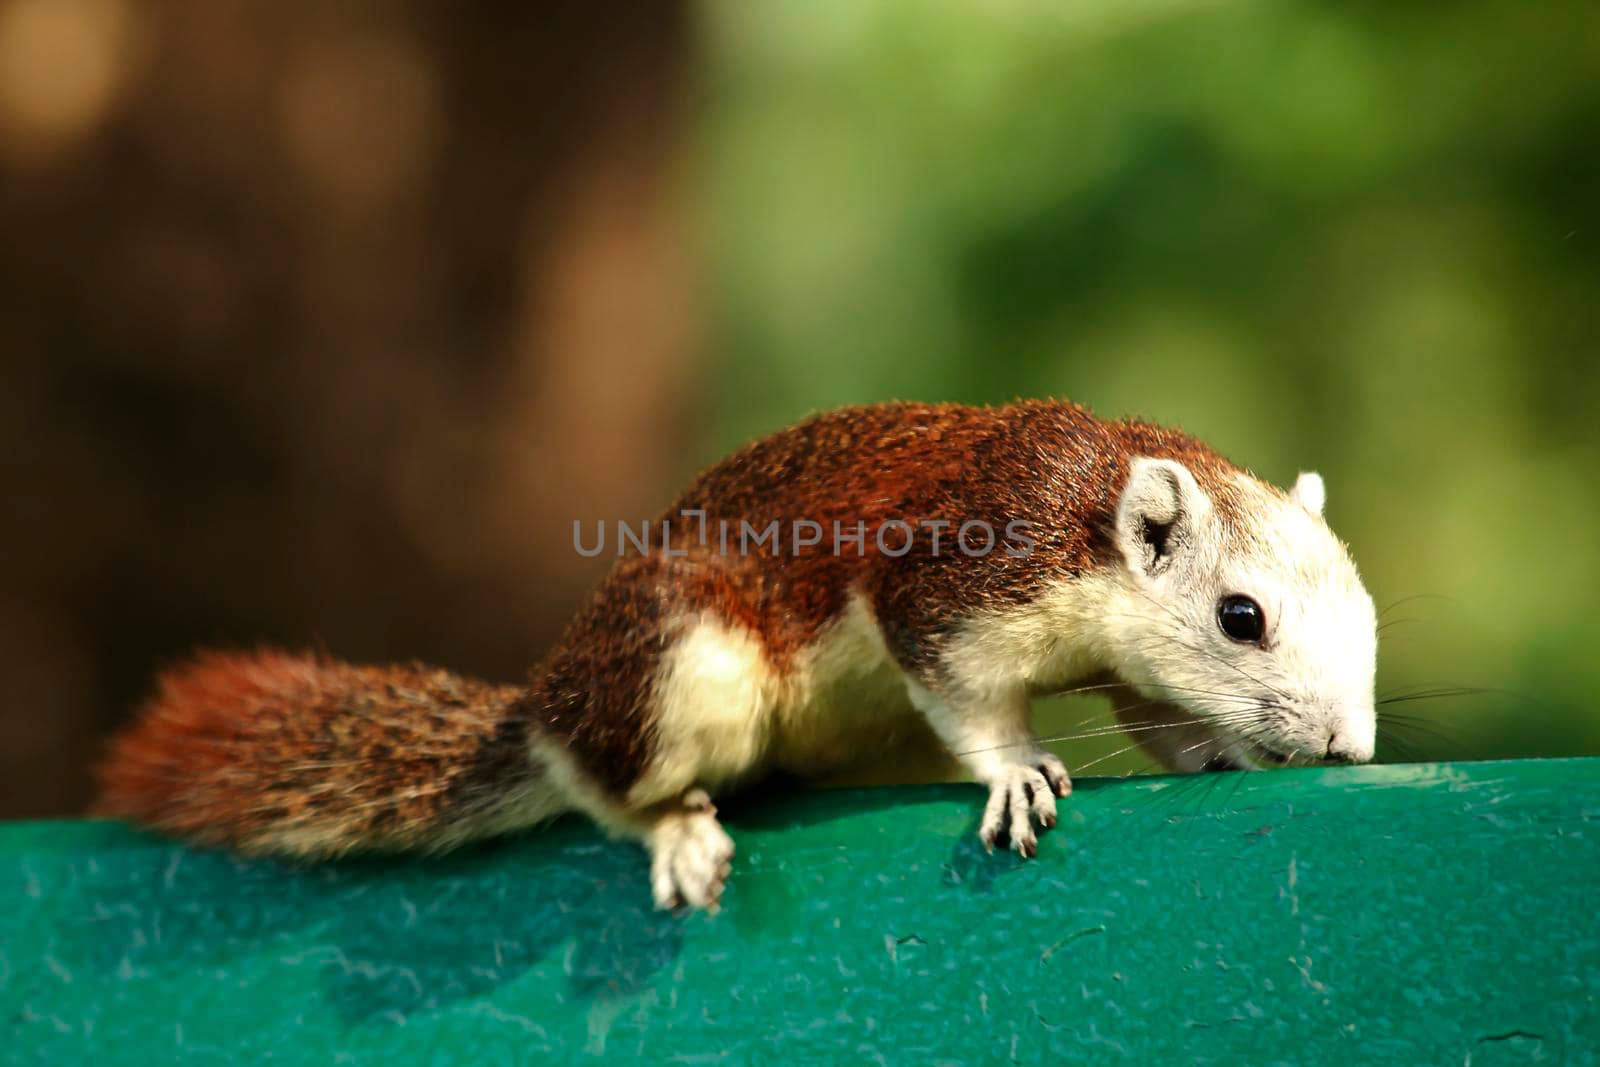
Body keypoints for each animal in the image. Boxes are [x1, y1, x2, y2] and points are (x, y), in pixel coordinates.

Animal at [96, 399, 1376, 908]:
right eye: (1241, 616)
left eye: (1369, 619)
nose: (1347, 745)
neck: (1089, 500)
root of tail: (548, 691)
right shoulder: (952, 586)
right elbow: (966, 697)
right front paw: (1015, 771)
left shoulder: (1110, 655)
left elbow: (1153, 713)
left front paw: (1219, 751)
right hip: (676, 664)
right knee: (592, 771)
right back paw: (672, 828)